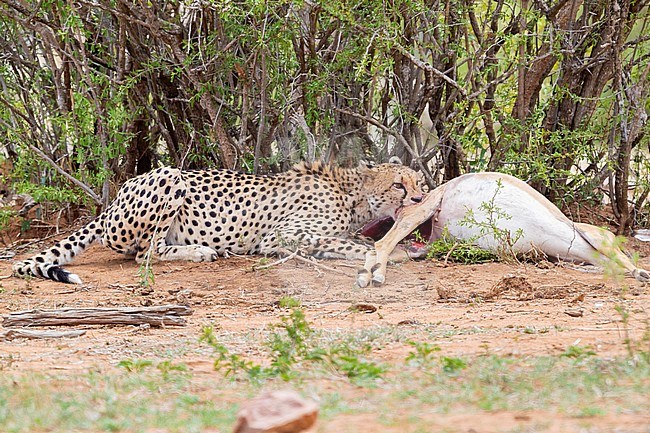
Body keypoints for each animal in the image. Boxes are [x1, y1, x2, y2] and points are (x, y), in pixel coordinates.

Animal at [15, 159, 422, 284]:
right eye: (399, 185)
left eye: (420, 181)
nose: (419, 199)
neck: (352, 194)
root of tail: (114, 198)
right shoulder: (282, 237)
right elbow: (348, 243)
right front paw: (394, 255)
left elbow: (358, 240)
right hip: (170, 176)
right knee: (146, 254)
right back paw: (199, 252)